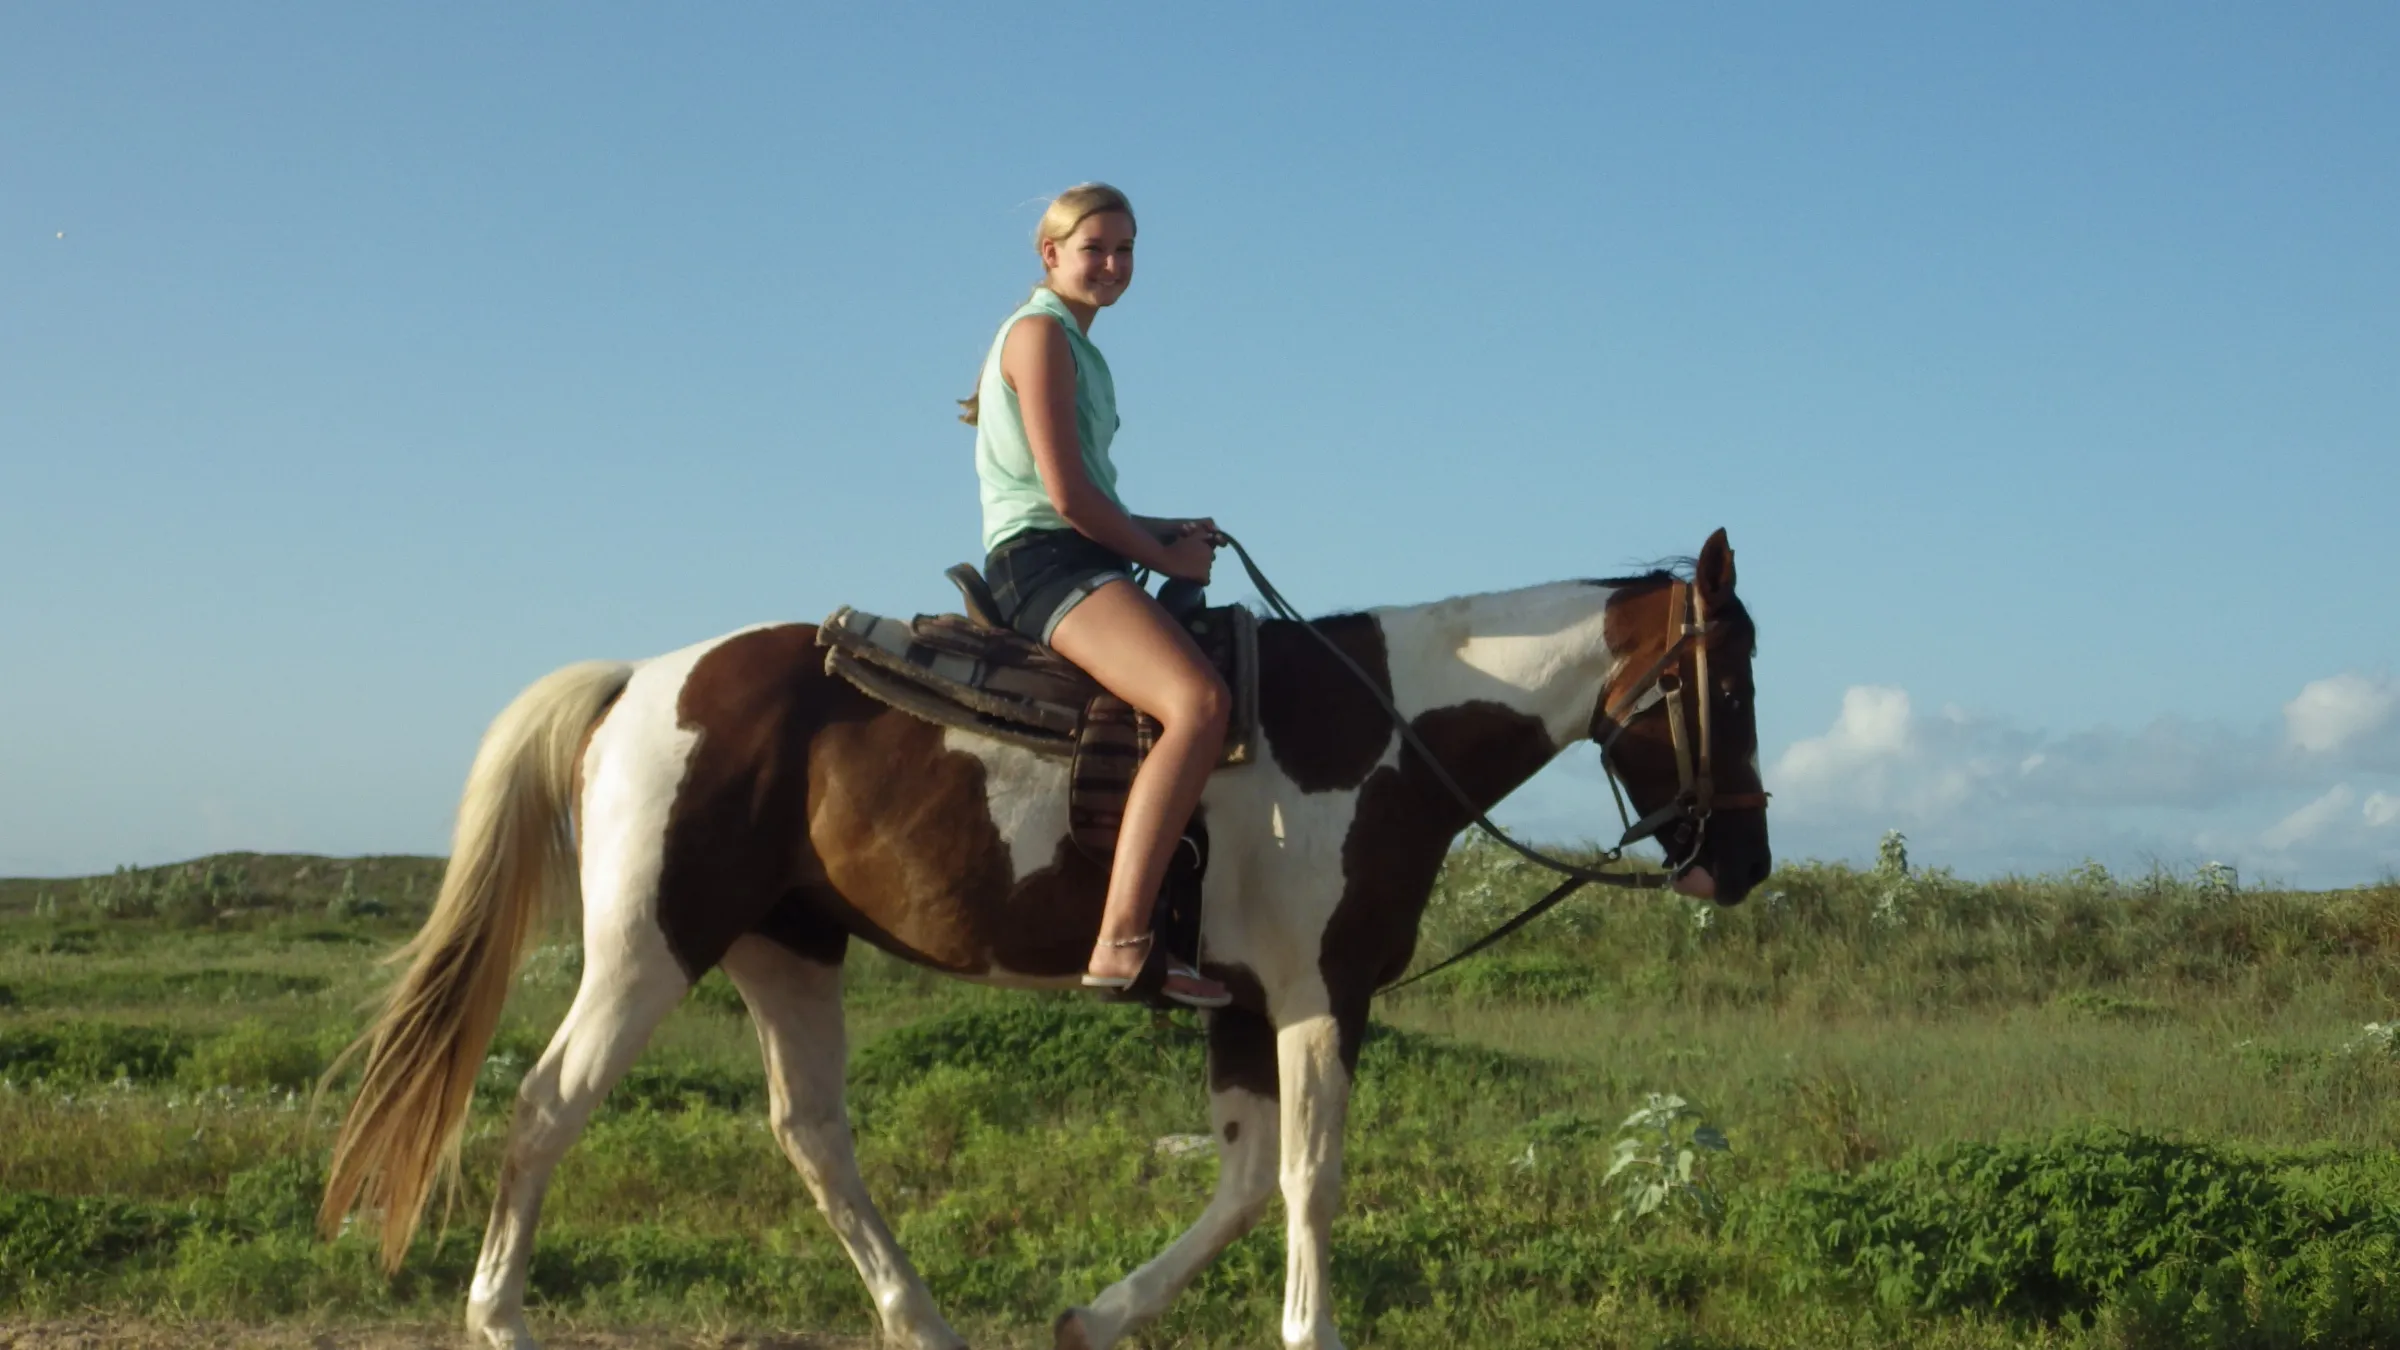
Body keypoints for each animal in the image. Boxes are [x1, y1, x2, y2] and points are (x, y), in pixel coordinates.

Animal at [319, 527, 1770, 1350]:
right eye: (1737, 676)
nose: (1744, 862)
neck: (1378, 724)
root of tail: (640, 681)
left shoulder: (1244, 1000)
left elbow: (1246, 1179)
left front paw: (1096, 1315)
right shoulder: (1319, 992)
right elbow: (1310, 1179)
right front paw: (1310, 1331)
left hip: (789, 947)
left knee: (812, 1133)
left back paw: (922, 1322)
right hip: (649, 941)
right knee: (547, 1104)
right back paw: (500, 1317)